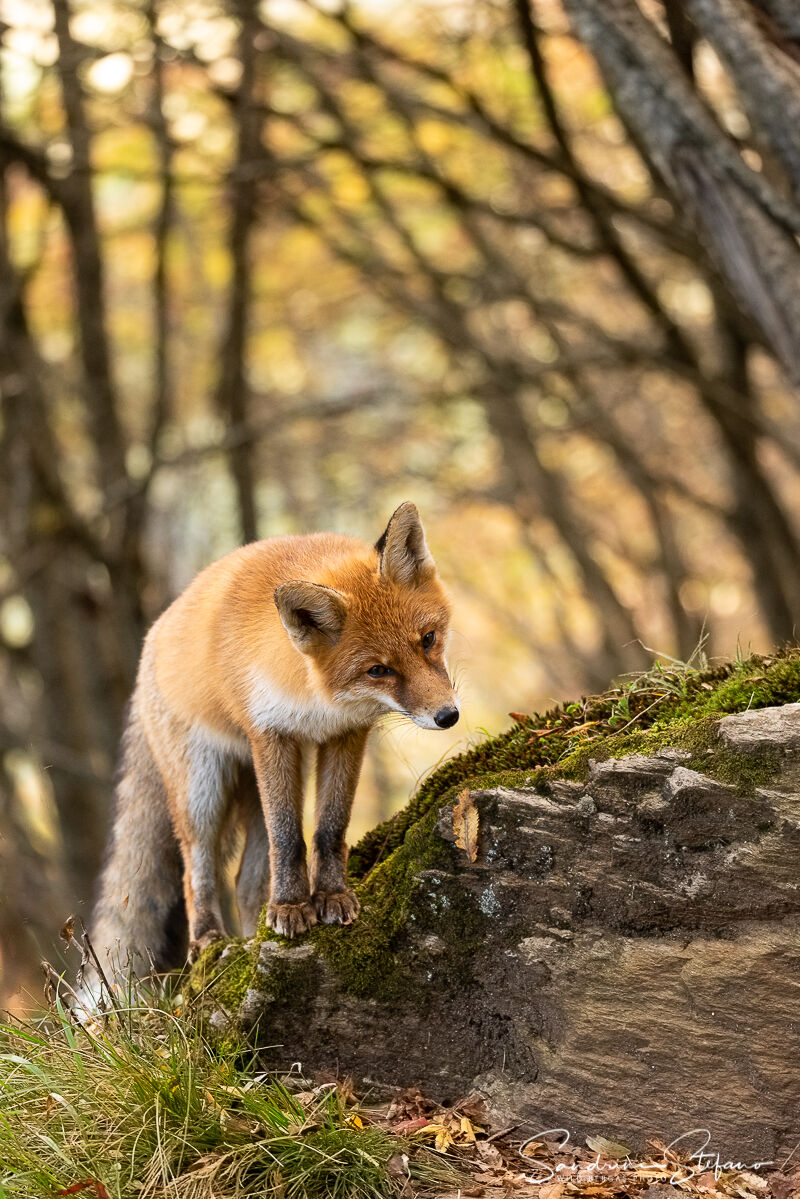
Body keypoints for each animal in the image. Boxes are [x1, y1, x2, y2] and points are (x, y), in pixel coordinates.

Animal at [89, 502, 460, 979]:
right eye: (378, 670)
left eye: (428, 639)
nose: (448, 716)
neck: (316, 701)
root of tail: (151, 641)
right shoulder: (271, 736)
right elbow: (288, 837)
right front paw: (289, 906)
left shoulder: (345, 735)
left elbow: (329, 828)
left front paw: (330, 897)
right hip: (202, 790)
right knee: (197, 870)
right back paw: (209, 940)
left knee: (245, 883)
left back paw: (252, 940)